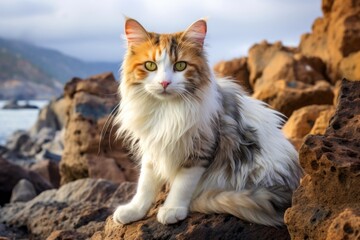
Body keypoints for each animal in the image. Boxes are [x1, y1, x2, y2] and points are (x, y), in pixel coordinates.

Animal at [113, 17, 304, 226]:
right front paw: (134, 210)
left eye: (180, 66)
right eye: (150, 66)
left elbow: (182, 185)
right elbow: (145, 185)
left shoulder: (200, 150)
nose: (164, 83)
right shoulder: (153, 147)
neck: (165, 110)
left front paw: (172, 209)